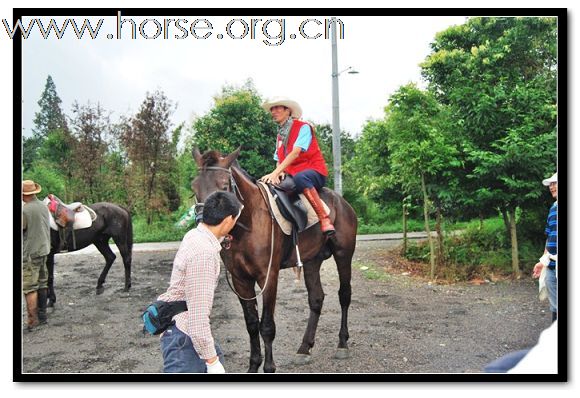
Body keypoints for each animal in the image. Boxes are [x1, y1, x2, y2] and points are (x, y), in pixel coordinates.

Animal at [190, 147, 356, 374]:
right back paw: (304, 348)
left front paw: (268, 367)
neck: (249, 224)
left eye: (224, 186)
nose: (205, 223)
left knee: (344, 295)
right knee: (316, 299)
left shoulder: (268, 277)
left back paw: (342, 343)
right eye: (194, 187)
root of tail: (342, 203)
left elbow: (267, 326)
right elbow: (251, 324)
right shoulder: (241, 280)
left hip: (343, 255)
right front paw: (253, 365)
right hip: (312, 261)